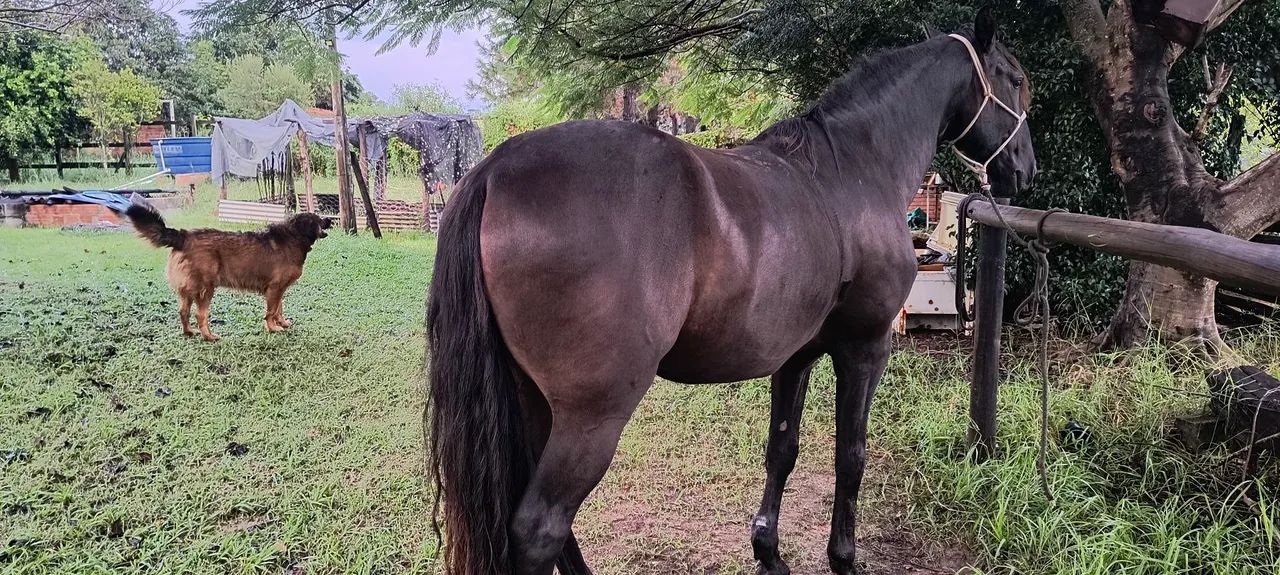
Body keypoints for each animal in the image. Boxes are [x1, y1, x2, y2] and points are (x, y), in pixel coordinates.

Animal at [427, 8, 1035, 575]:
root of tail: (494, 170)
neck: (853, 171)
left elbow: (782, 450)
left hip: (533, 401)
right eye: (1016, 80)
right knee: (541, 528)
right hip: (591, 415)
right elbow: (851, 455)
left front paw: (769, 553)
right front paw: (842, 557)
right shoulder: (865, 349)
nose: (1024, 170)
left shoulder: (796, 356)